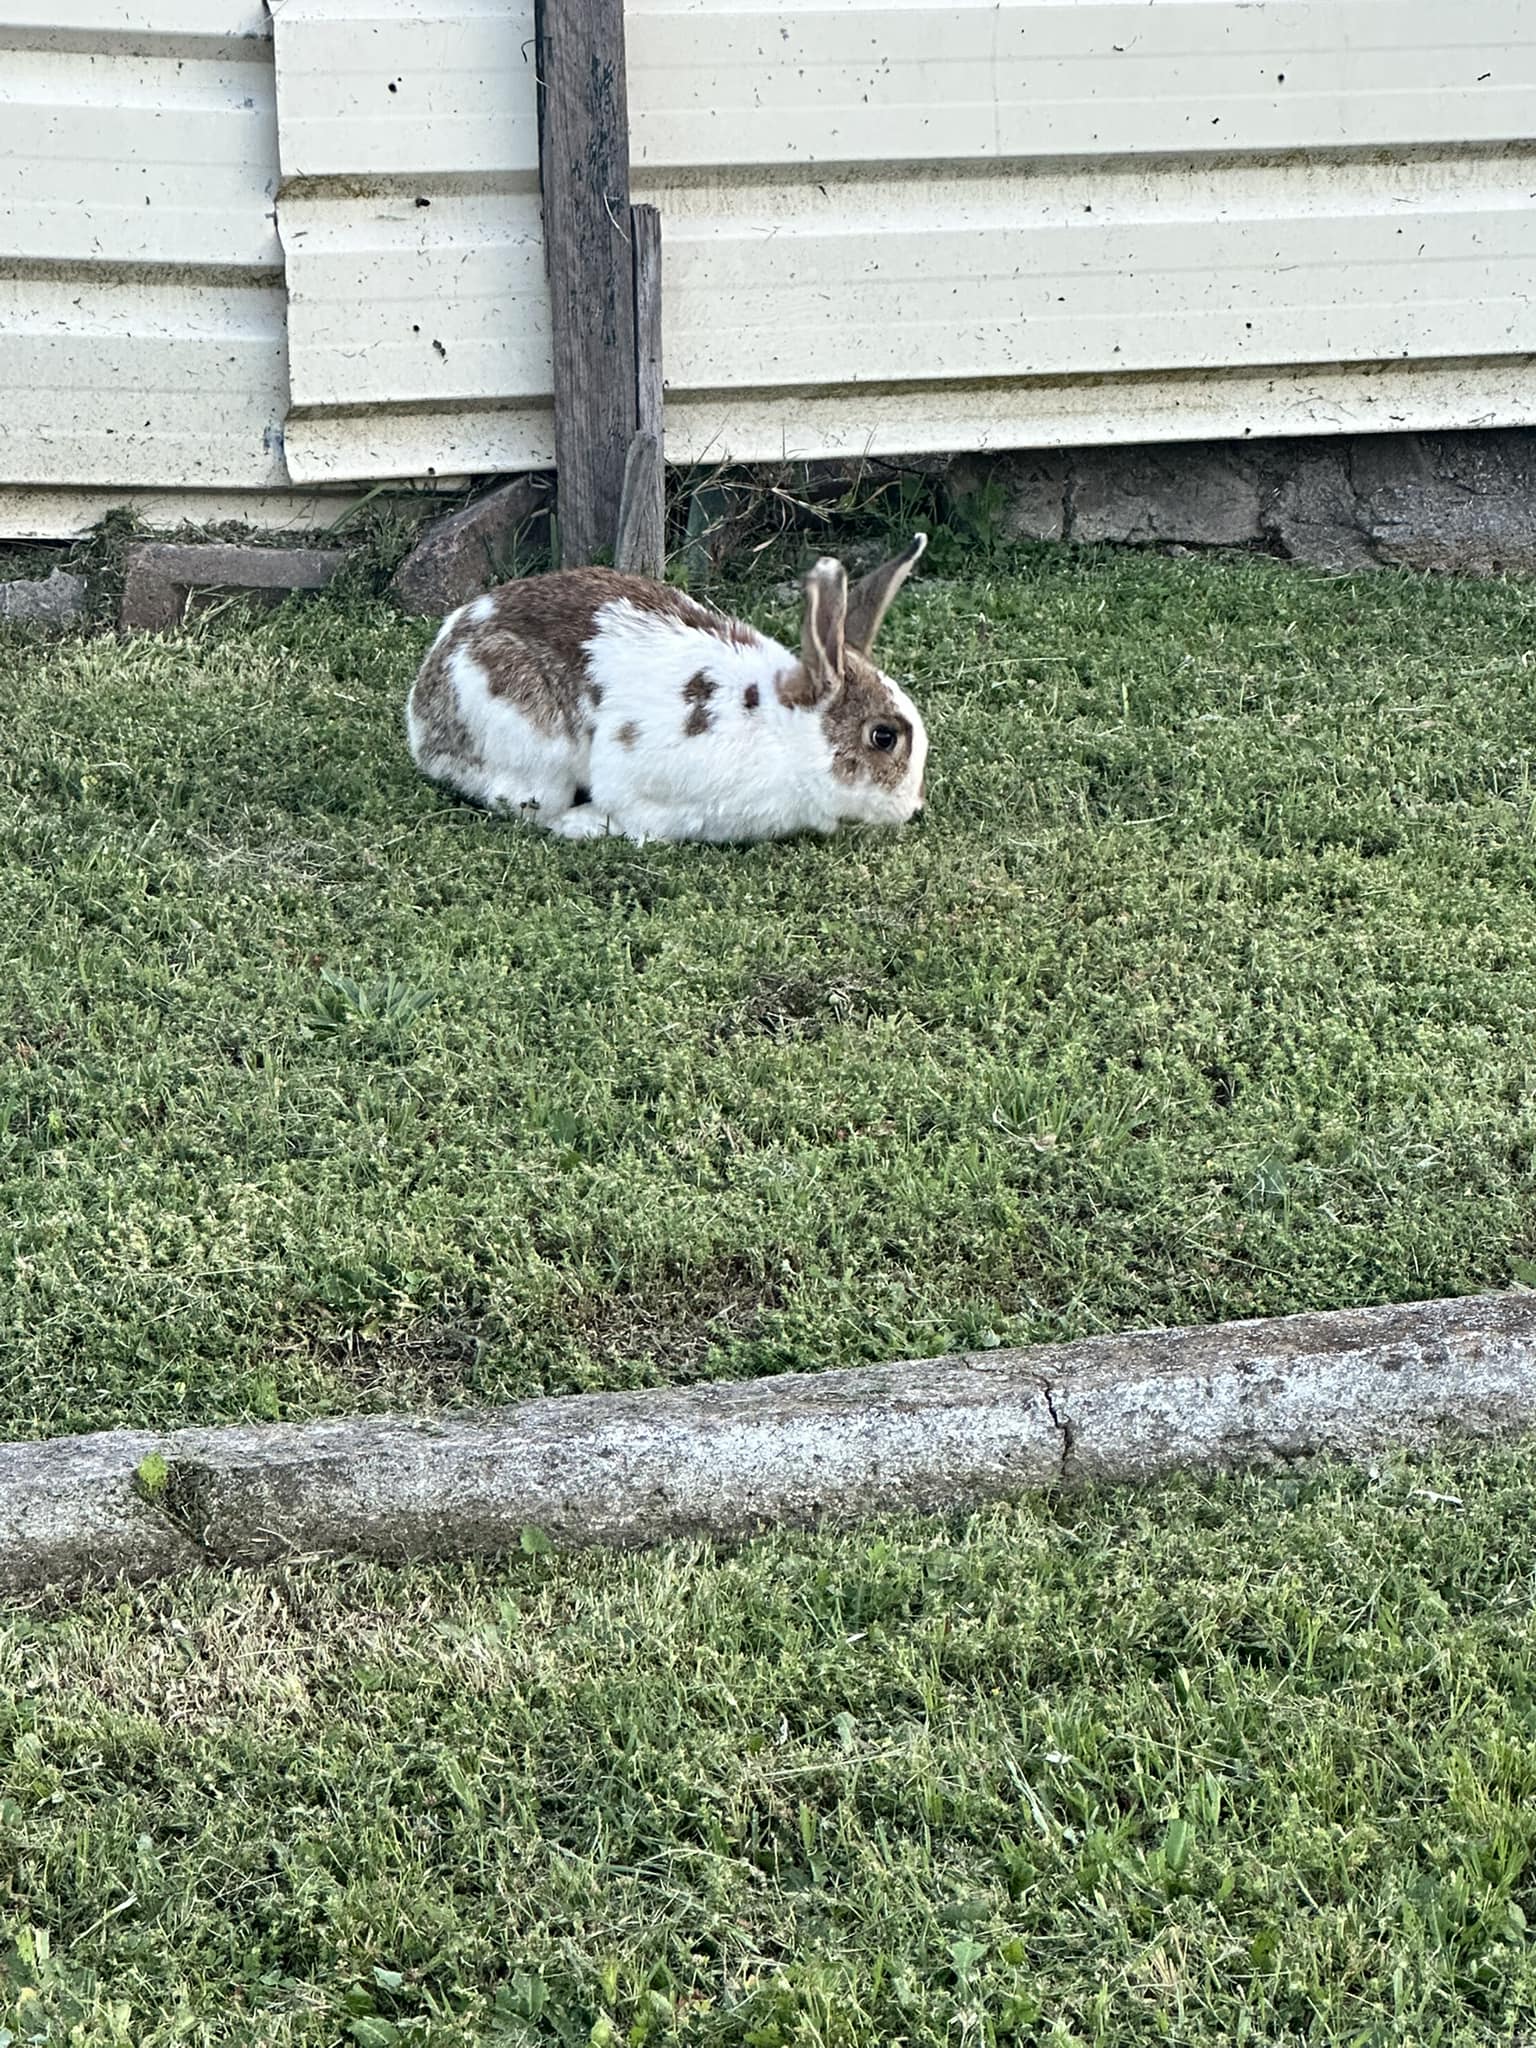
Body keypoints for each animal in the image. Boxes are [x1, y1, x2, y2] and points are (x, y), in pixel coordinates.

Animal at [405, 534, 930, 844]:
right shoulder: (641, 787)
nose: (912, 809)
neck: (785, 732)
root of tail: (422, 719)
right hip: (532, 749)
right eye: (883, 736)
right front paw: (583, 824)